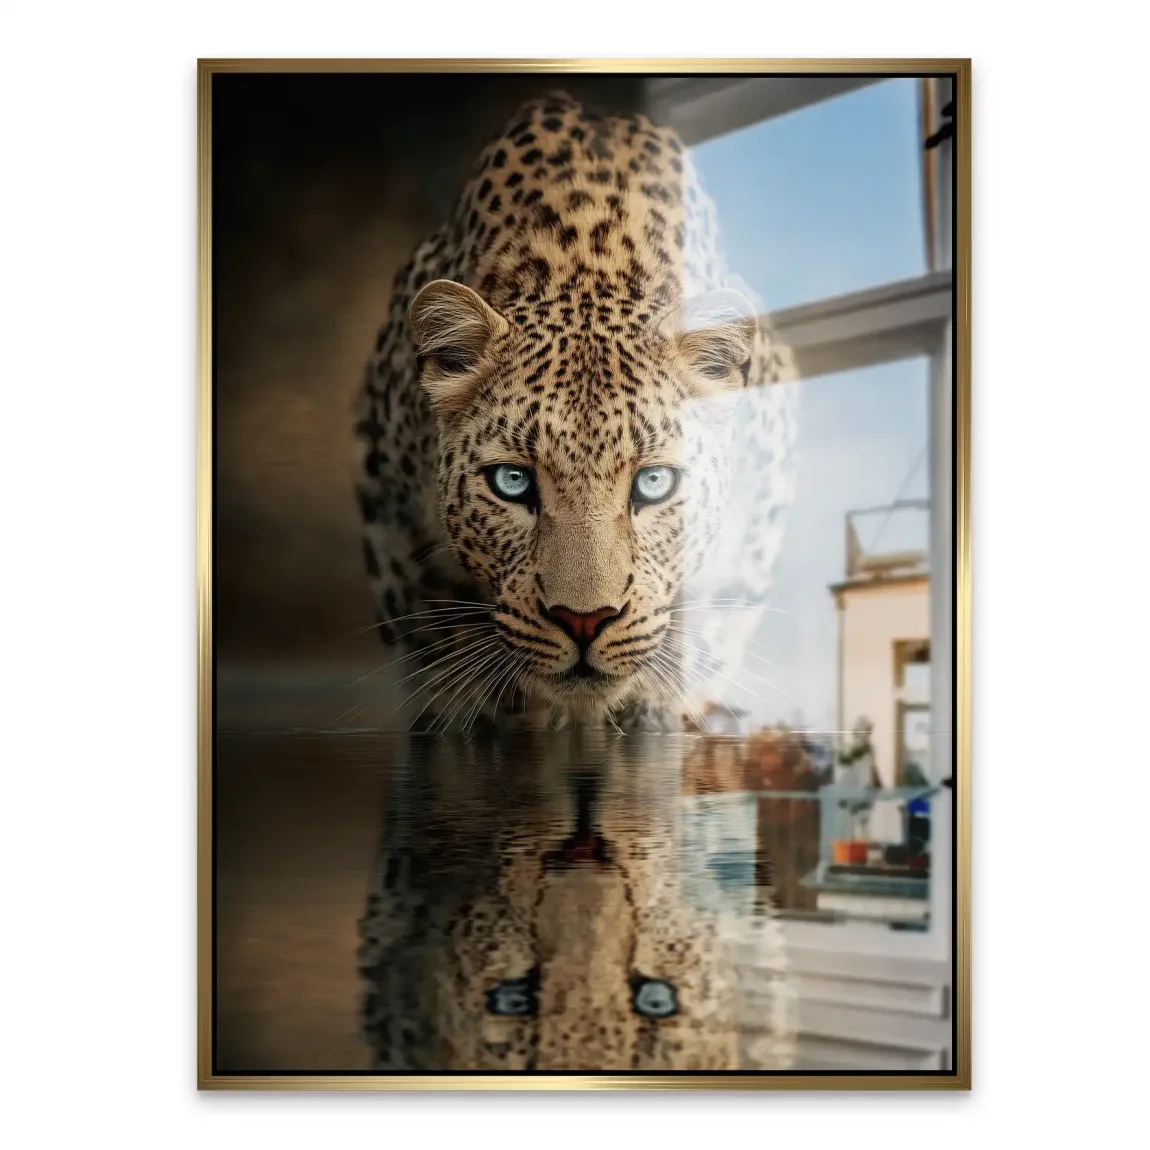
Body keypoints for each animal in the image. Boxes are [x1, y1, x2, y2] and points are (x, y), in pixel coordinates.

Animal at [354, 89, 798, 734]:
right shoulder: (387, 505)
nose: (584, 620)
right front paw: (473, 713)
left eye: (655, 483)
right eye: (511, 482)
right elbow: (433, 637)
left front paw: (656, 708)